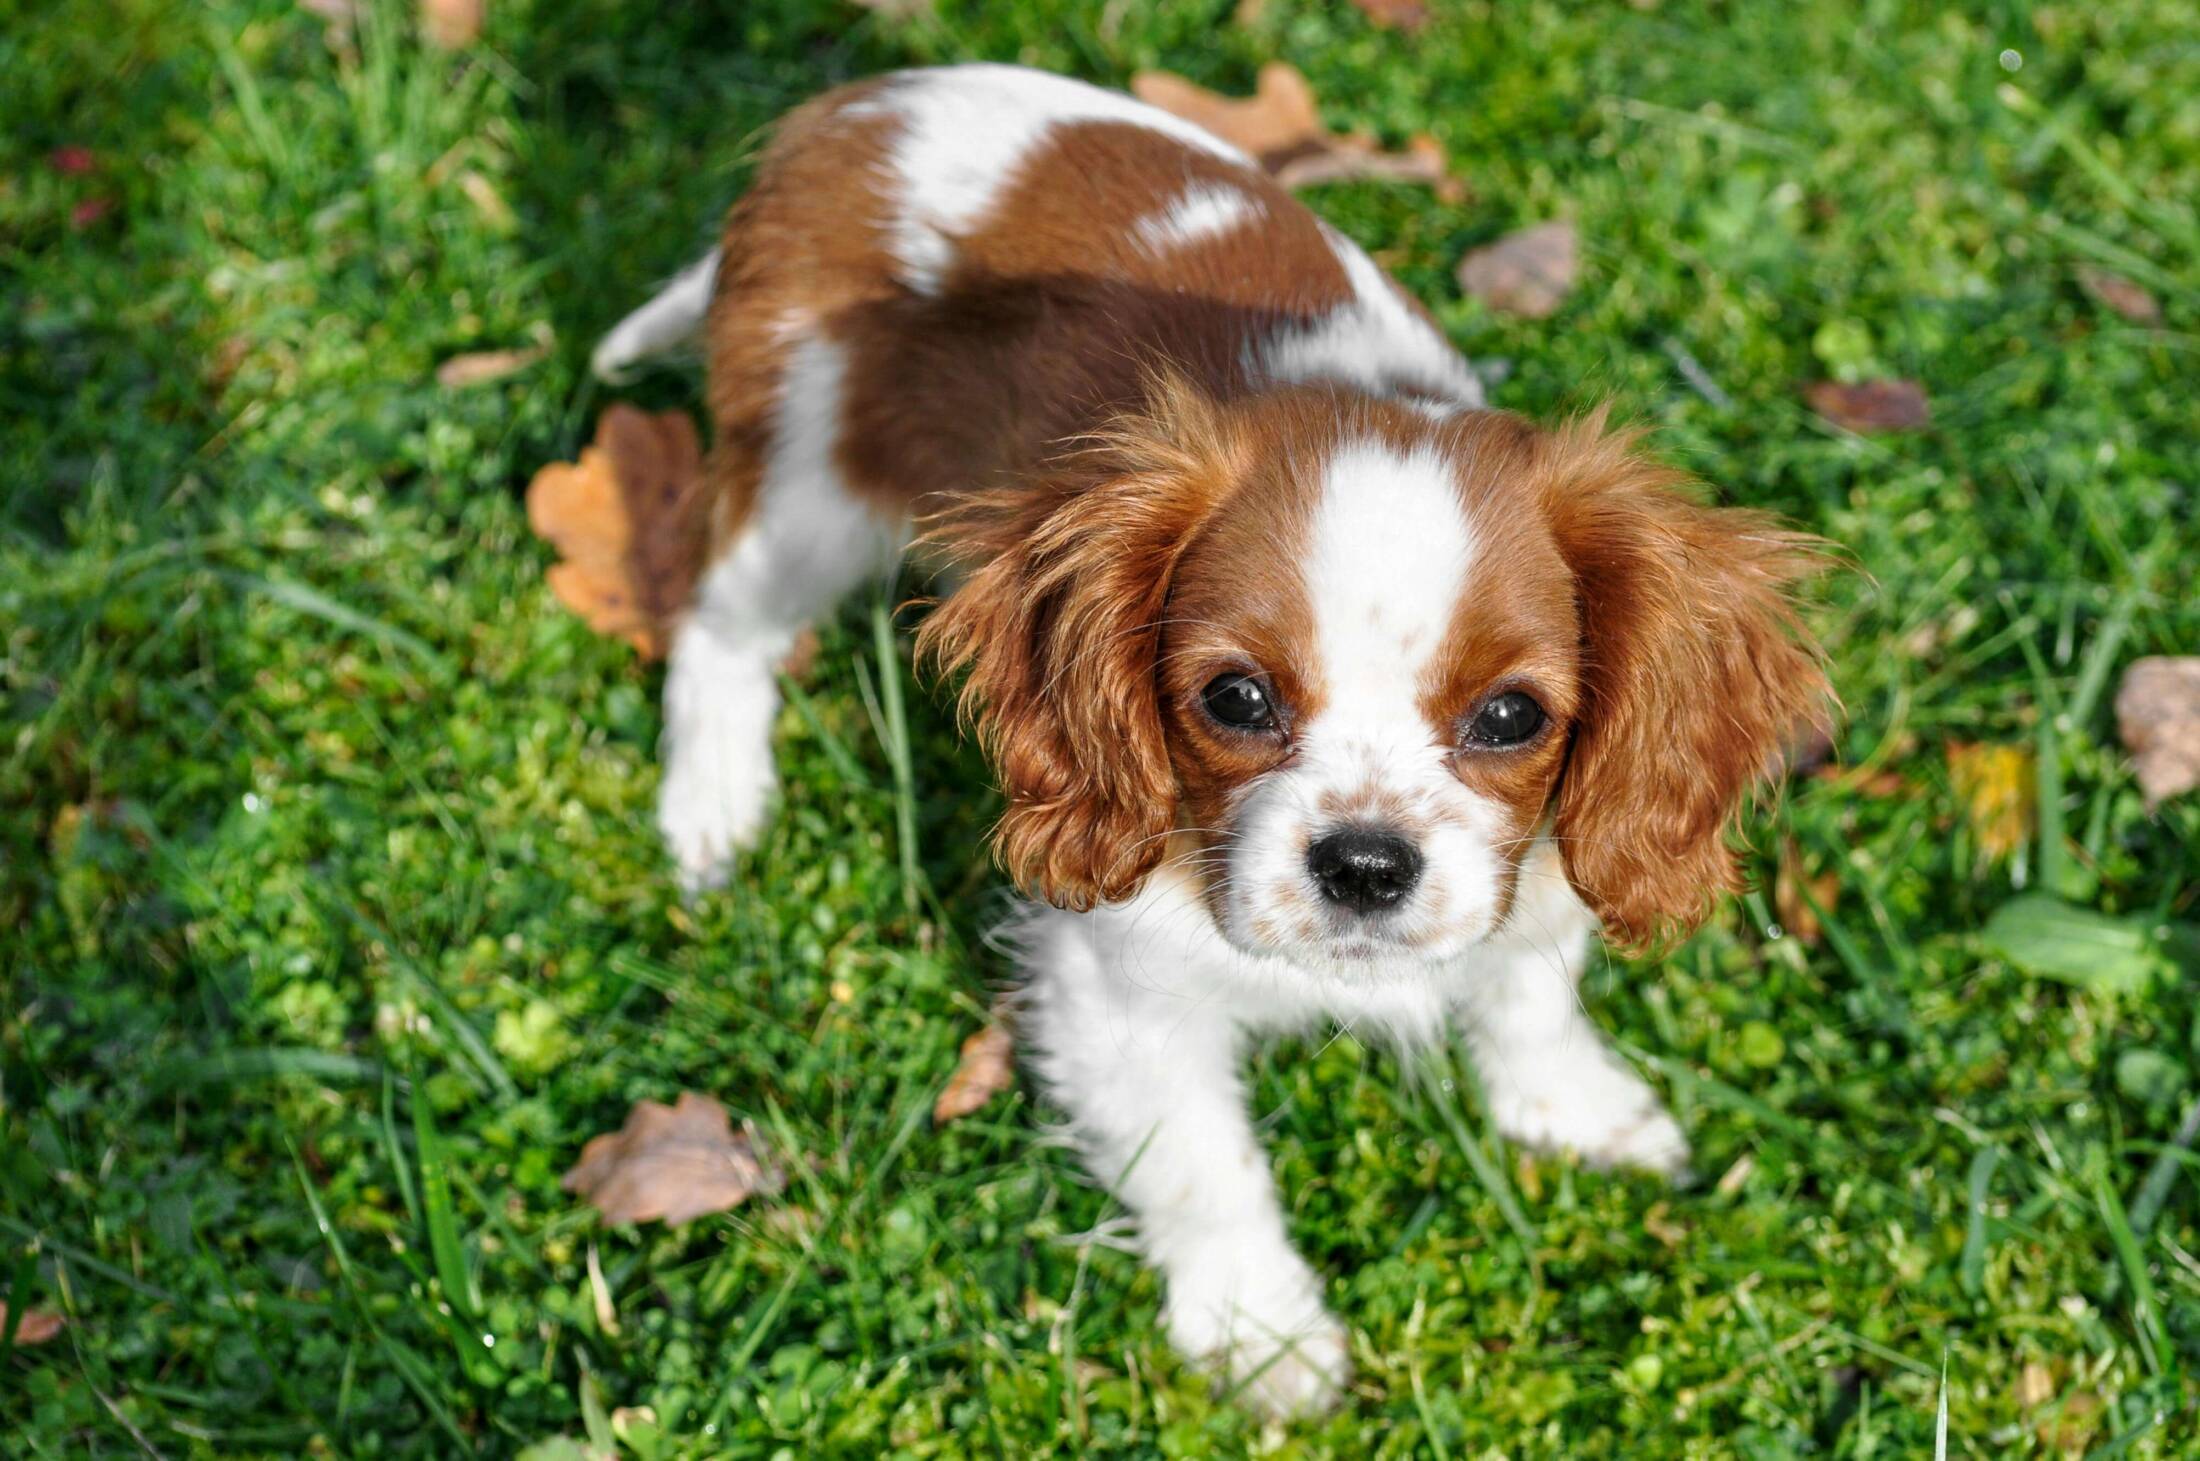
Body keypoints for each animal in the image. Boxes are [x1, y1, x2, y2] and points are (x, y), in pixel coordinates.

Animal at [594, 65, 1830, 1416]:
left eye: (1509, 717)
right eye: (1236, 700)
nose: (1364, 865)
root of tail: (855, 103)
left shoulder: (1531, 878)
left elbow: (1528, 993)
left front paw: (1570, 1109)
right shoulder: (1112, 987)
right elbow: (1202, 1165)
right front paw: (1261, 1332)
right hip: (807, 490)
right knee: (718, 629)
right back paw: (713, 809)